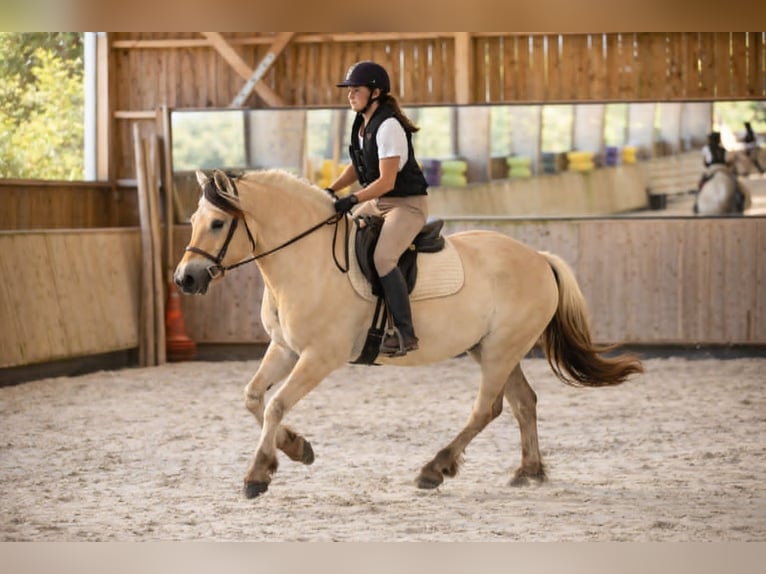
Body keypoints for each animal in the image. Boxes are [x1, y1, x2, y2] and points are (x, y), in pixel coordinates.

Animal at [174, 169, 644, 499]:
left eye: (218, 224)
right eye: (194, 220)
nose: (185, 279)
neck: (305, 259)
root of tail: (539, 257)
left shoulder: (320, 357)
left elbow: (275, 405)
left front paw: (257, 475)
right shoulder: (285, 348)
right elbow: (254, 398)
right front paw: (296, 448)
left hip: (501, 348)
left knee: (485, 409)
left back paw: (434, 469)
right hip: (490, 347)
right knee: (522, 403)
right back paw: (528, 471)